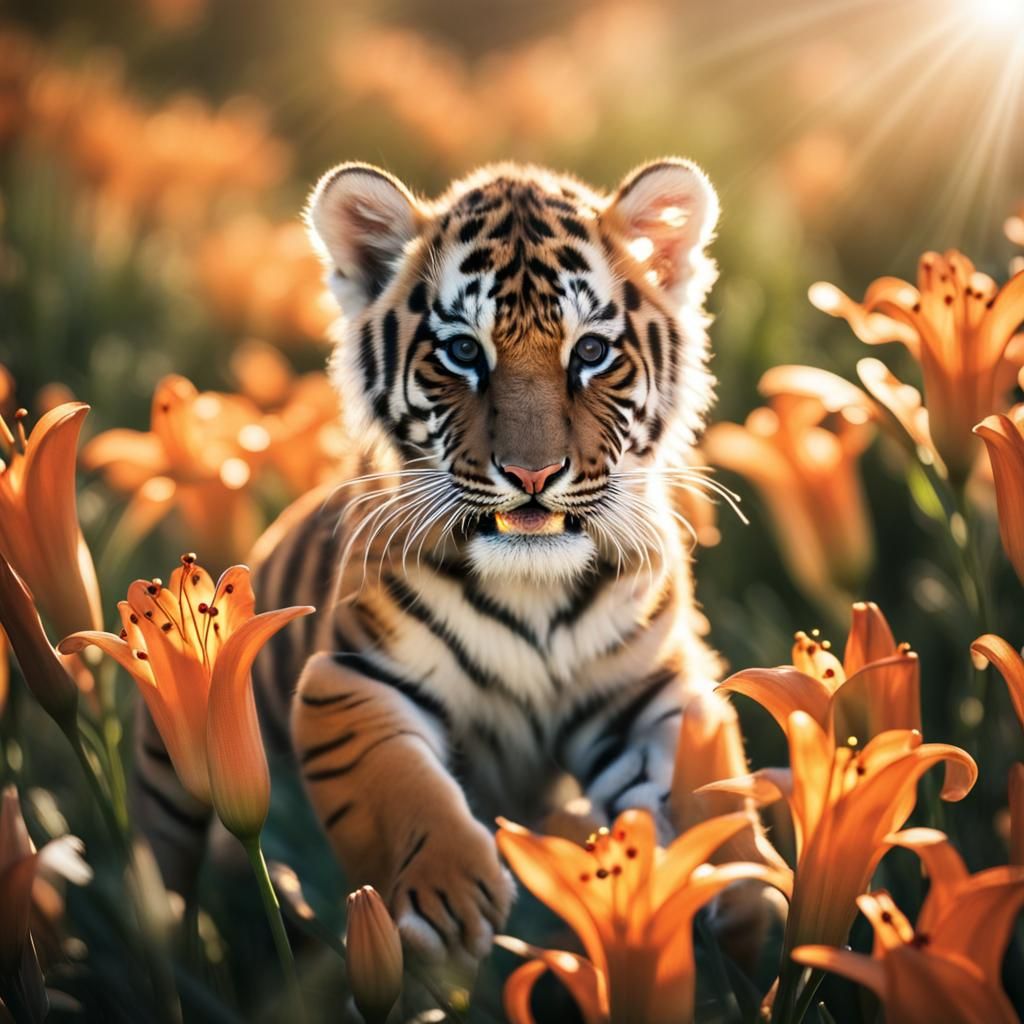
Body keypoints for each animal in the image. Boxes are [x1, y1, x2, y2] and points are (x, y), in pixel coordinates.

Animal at [132, 158, 771, 974]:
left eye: (590, 352)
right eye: (464, 352)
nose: (533, 474)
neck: (535, 589)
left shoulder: (649, 690)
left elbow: (709, 785)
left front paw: (742, 892)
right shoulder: (348, 679)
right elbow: (396, 779)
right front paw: (451, 896)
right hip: (168, 781)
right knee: (166, 884)